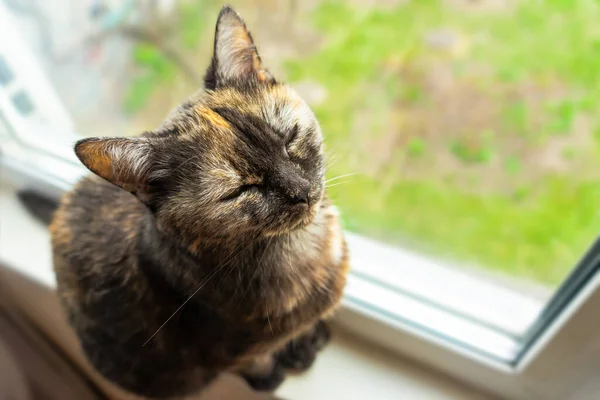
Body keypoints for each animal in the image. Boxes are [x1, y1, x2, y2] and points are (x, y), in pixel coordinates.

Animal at [52, 4, 352, 398]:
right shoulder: (226, 350)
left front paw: (307, 341)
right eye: (240, 190)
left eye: (288, 139)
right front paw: (271, 374)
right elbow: (255, 360)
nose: (303, 192)